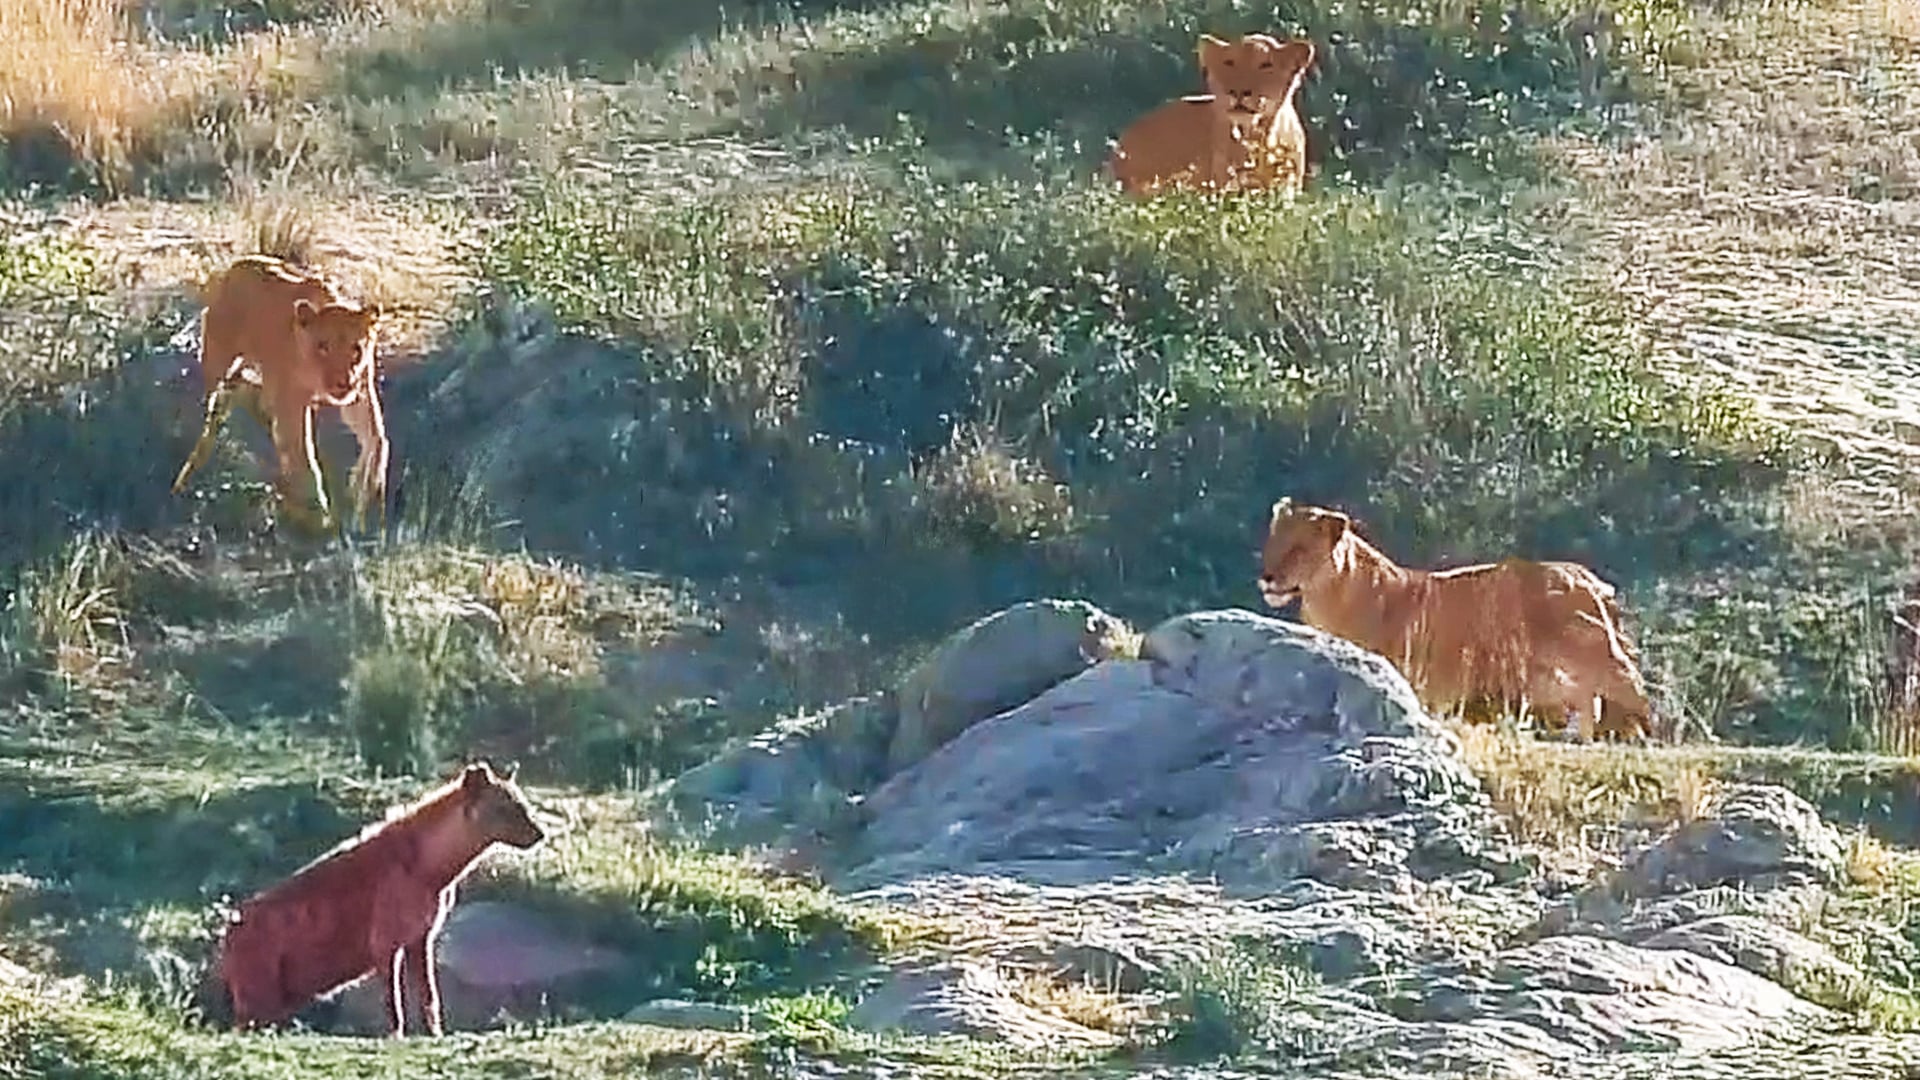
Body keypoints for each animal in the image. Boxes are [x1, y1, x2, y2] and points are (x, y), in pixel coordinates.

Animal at [170, 255, 388, 534]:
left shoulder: (359, 392)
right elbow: (305, 459)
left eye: (356, 350)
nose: (341, 383)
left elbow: (378, 437)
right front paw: (322, 518)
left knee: (251, 397)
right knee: (217, 408)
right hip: (218, 362)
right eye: (323, 347)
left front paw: (365, 489)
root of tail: (236, 265)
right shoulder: (292, 403)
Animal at [1257, 498, 1654, 741]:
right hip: (1546, 676)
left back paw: (1646, 739)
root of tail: (1586, 575)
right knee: (1589, 700)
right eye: (1272, 544)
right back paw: (1582, 740)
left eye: (1299, 549)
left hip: (1591, 653)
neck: (1324, 595)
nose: (1267, 578)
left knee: (1631, 686)